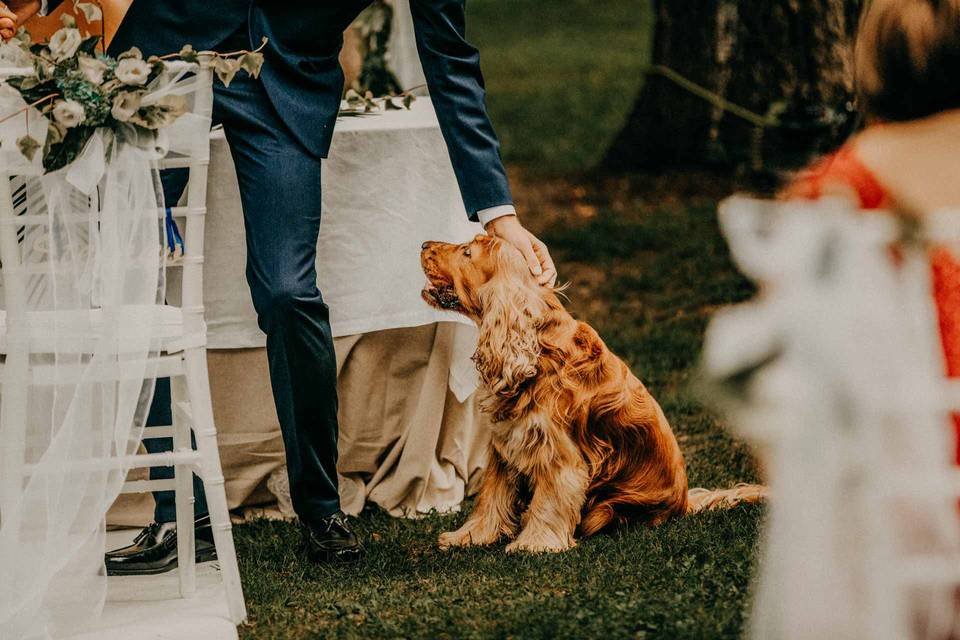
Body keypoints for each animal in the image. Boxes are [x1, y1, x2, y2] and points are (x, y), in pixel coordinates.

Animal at [420, 235, 764, 556]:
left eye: (467, 252)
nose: (423, 244)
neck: (537, 349)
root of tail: (683, 504)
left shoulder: (558, 457)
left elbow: (548, 502)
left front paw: (534, 544)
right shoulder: (506, 447)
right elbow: (491, 497)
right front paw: (469, 536)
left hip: (607, 509)